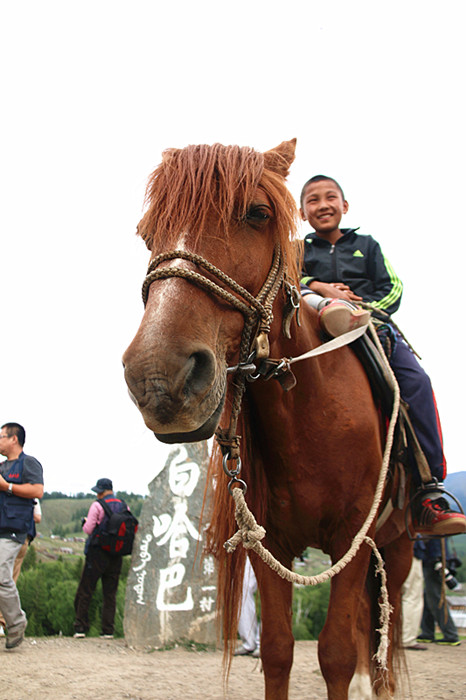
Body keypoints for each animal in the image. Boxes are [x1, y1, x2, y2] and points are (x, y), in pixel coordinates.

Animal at [123, 139, 412, 696]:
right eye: (147, 234)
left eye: (257, 214)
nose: (157, 377)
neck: (308, 417)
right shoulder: (268, 543)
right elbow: (278, 652)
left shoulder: (352, 536)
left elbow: (336, 654)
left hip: (401, 545)